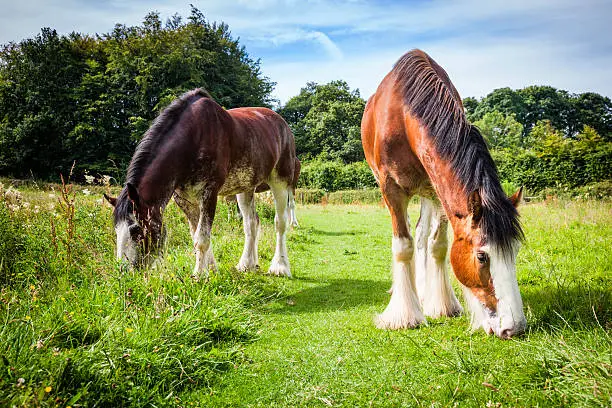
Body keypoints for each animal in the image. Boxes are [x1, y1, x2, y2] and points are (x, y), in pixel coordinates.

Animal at [104, 89, 298, 278]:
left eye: (136, 230)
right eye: (116, 229)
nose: (124, 272)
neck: (192, 140)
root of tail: (283, 125)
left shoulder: (209, 194)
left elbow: (202, 238)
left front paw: (199, 274)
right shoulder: (184, 200)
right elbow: (196, 234)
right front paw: (210, 269)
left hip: (281, 182)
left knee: (280, 223)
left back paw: (280, 267)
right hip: (246, 187)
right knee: (251, 223)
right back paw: (247, 264)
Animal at [364, 50, 524, 338]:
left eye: (515, 250)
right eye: (482, 256)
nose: (514, 328)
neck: (403, 116)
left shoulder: (438, 191)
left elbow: (436, 245)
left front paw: (441, 305)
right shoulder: (391, 189)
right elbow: (402, 246)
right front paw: (404, 316)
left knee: (421, 236)